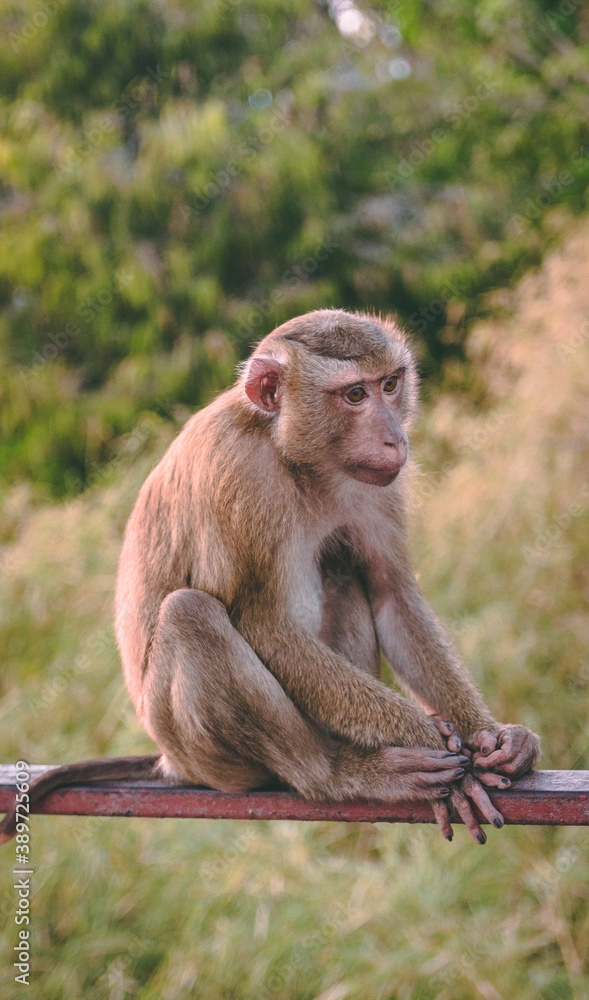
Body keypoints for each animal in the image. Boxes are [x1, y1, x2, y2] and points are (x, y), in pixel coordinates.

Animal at [1, 309, 540, 845]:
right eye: (354, 395)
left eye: (389, 384)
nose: (395, 438)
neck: (289, 453)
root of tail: (170, 762)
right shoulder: (241, 474)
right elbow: (263, 622)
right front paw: (433, 741)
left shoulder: (377, 484)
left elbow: (393, 595)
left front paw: (493, 736)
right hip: (201, 754)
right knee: (191, 613)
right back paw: (337, 773)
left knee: (341, 569)